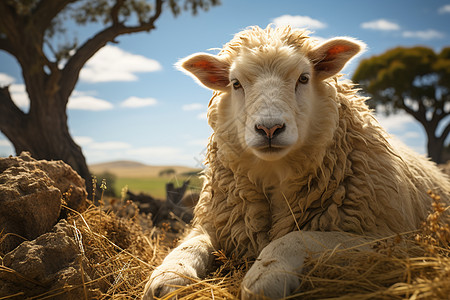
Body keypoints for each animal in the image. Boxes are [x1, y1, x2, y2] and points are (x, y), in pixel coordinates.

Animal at [143, 26, 450, 300]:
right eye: (235, 83)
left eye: (303, 78)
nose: (269, 128)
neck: (275, 174)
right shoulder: (220, 224)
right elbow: (188, 246)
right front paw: (167, 277)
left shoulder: (388, 238)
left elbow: (298, 238)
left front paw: (265, 277)